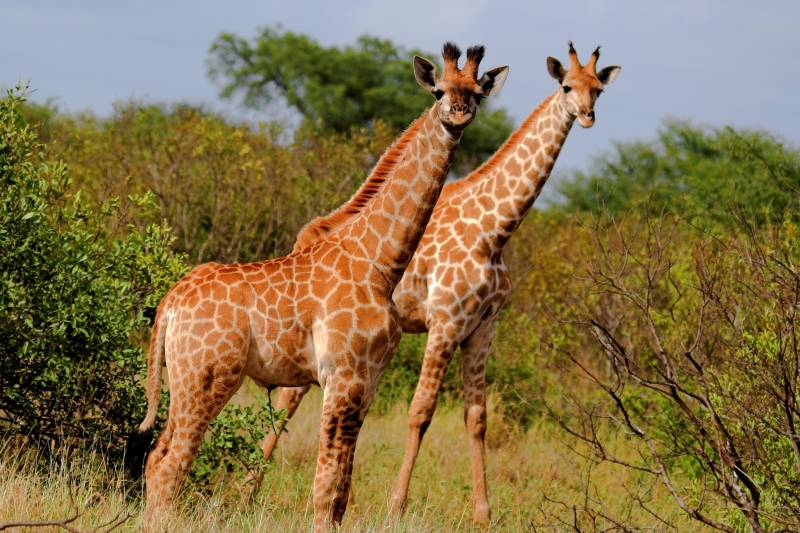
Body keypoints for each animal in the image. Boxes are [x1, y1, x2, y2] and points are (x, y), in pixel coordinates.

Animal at [128, 42, 509, 531]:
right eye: (440, 91)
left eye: (476, 94)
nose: (459, 114)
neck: (380, 263)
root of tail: (170, 302)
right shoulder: (341, 377)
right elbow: (325, 490)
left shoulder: (367, 381)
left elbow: (341, 492)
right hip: (208, 377)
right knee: (170, 464)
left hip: (184, 379)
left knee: (157, 457)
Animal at [258, 43, 620, 524]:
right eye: (566, 86)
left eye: (598, 89)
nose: (586, 115)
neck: (496, 230)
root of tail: (308, 235)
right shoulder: (445, 322)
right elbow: (420, 411)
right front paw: (396, 505)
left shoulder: (482, 327)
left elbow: (477, 416)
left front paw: (483, 513)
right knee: (288, 401)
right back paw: (247, 488)